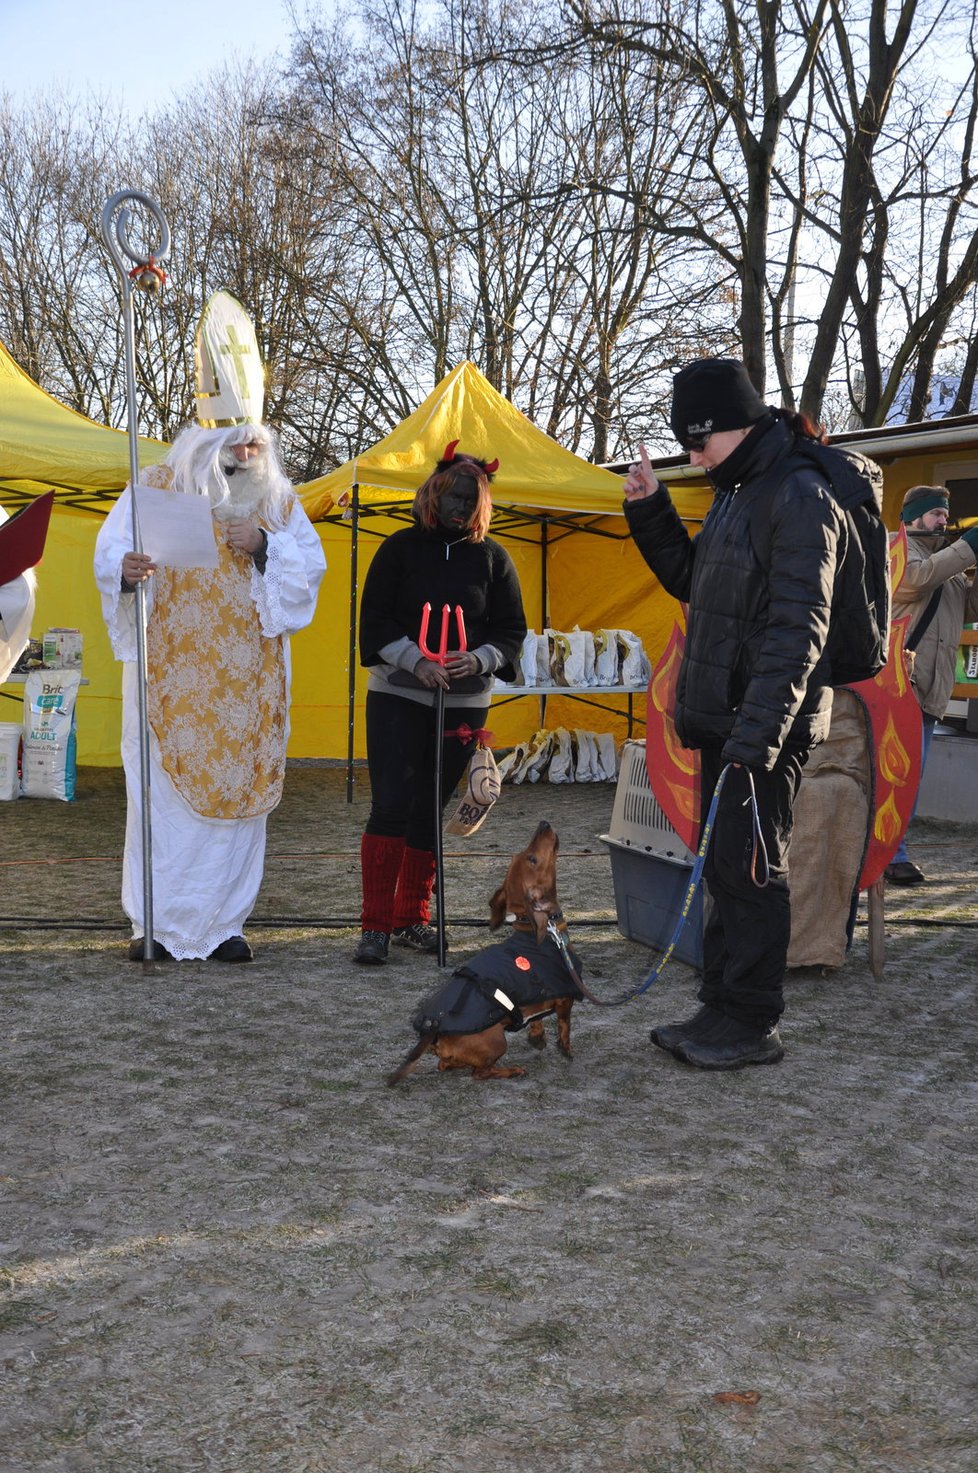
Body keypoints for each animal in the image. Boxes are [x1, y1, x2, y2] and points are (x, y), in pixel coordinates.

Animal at [382, 818, 583, 1084]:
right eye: (532, 859)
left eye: (525, 855)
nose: (544, 823)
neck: (534, 931)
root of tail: (433, 1030)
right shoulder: (565, 996)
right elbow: (564, 1023)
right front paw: (566, 1049)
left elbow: (537, 1018)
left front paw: (537, 1037)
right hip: (497, 1040)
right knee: (479, 1073)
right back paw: (512, 1070)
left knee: (445, 1065)